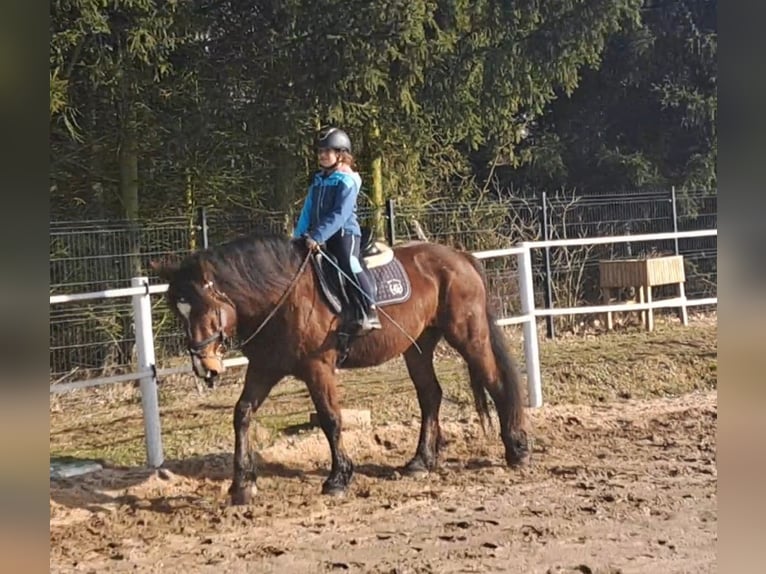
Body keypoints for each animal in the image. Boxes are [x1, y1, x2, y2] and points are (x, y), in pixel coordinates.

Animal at [154, 232, 532, 506]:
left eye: (204, 307)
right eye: (178, 311)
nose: (203, 366)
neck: (283, 298)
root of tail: (459, 257)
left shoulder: (317, 367)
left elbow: (330, 418)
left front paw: (338, 478)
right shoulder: (264, 368)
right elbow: (242, 413)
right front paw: (242, 486)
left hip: (468, 335)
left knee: (496, 382)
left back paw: (516, 448)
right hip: (418, 346)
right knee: (430, 396)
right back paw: (420, 461)